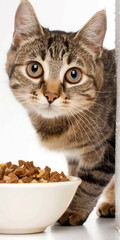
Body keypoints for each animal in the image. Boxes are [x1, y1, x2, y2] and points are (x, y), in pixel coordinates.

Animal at [6, 0, 116, 225]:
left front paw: (73, 210)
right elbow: (77, 176)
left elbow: (89, 181)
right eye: (34, 69)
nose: (50, 95)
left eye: (74, 74)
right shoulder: (75, 155)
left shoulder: (106, 150)